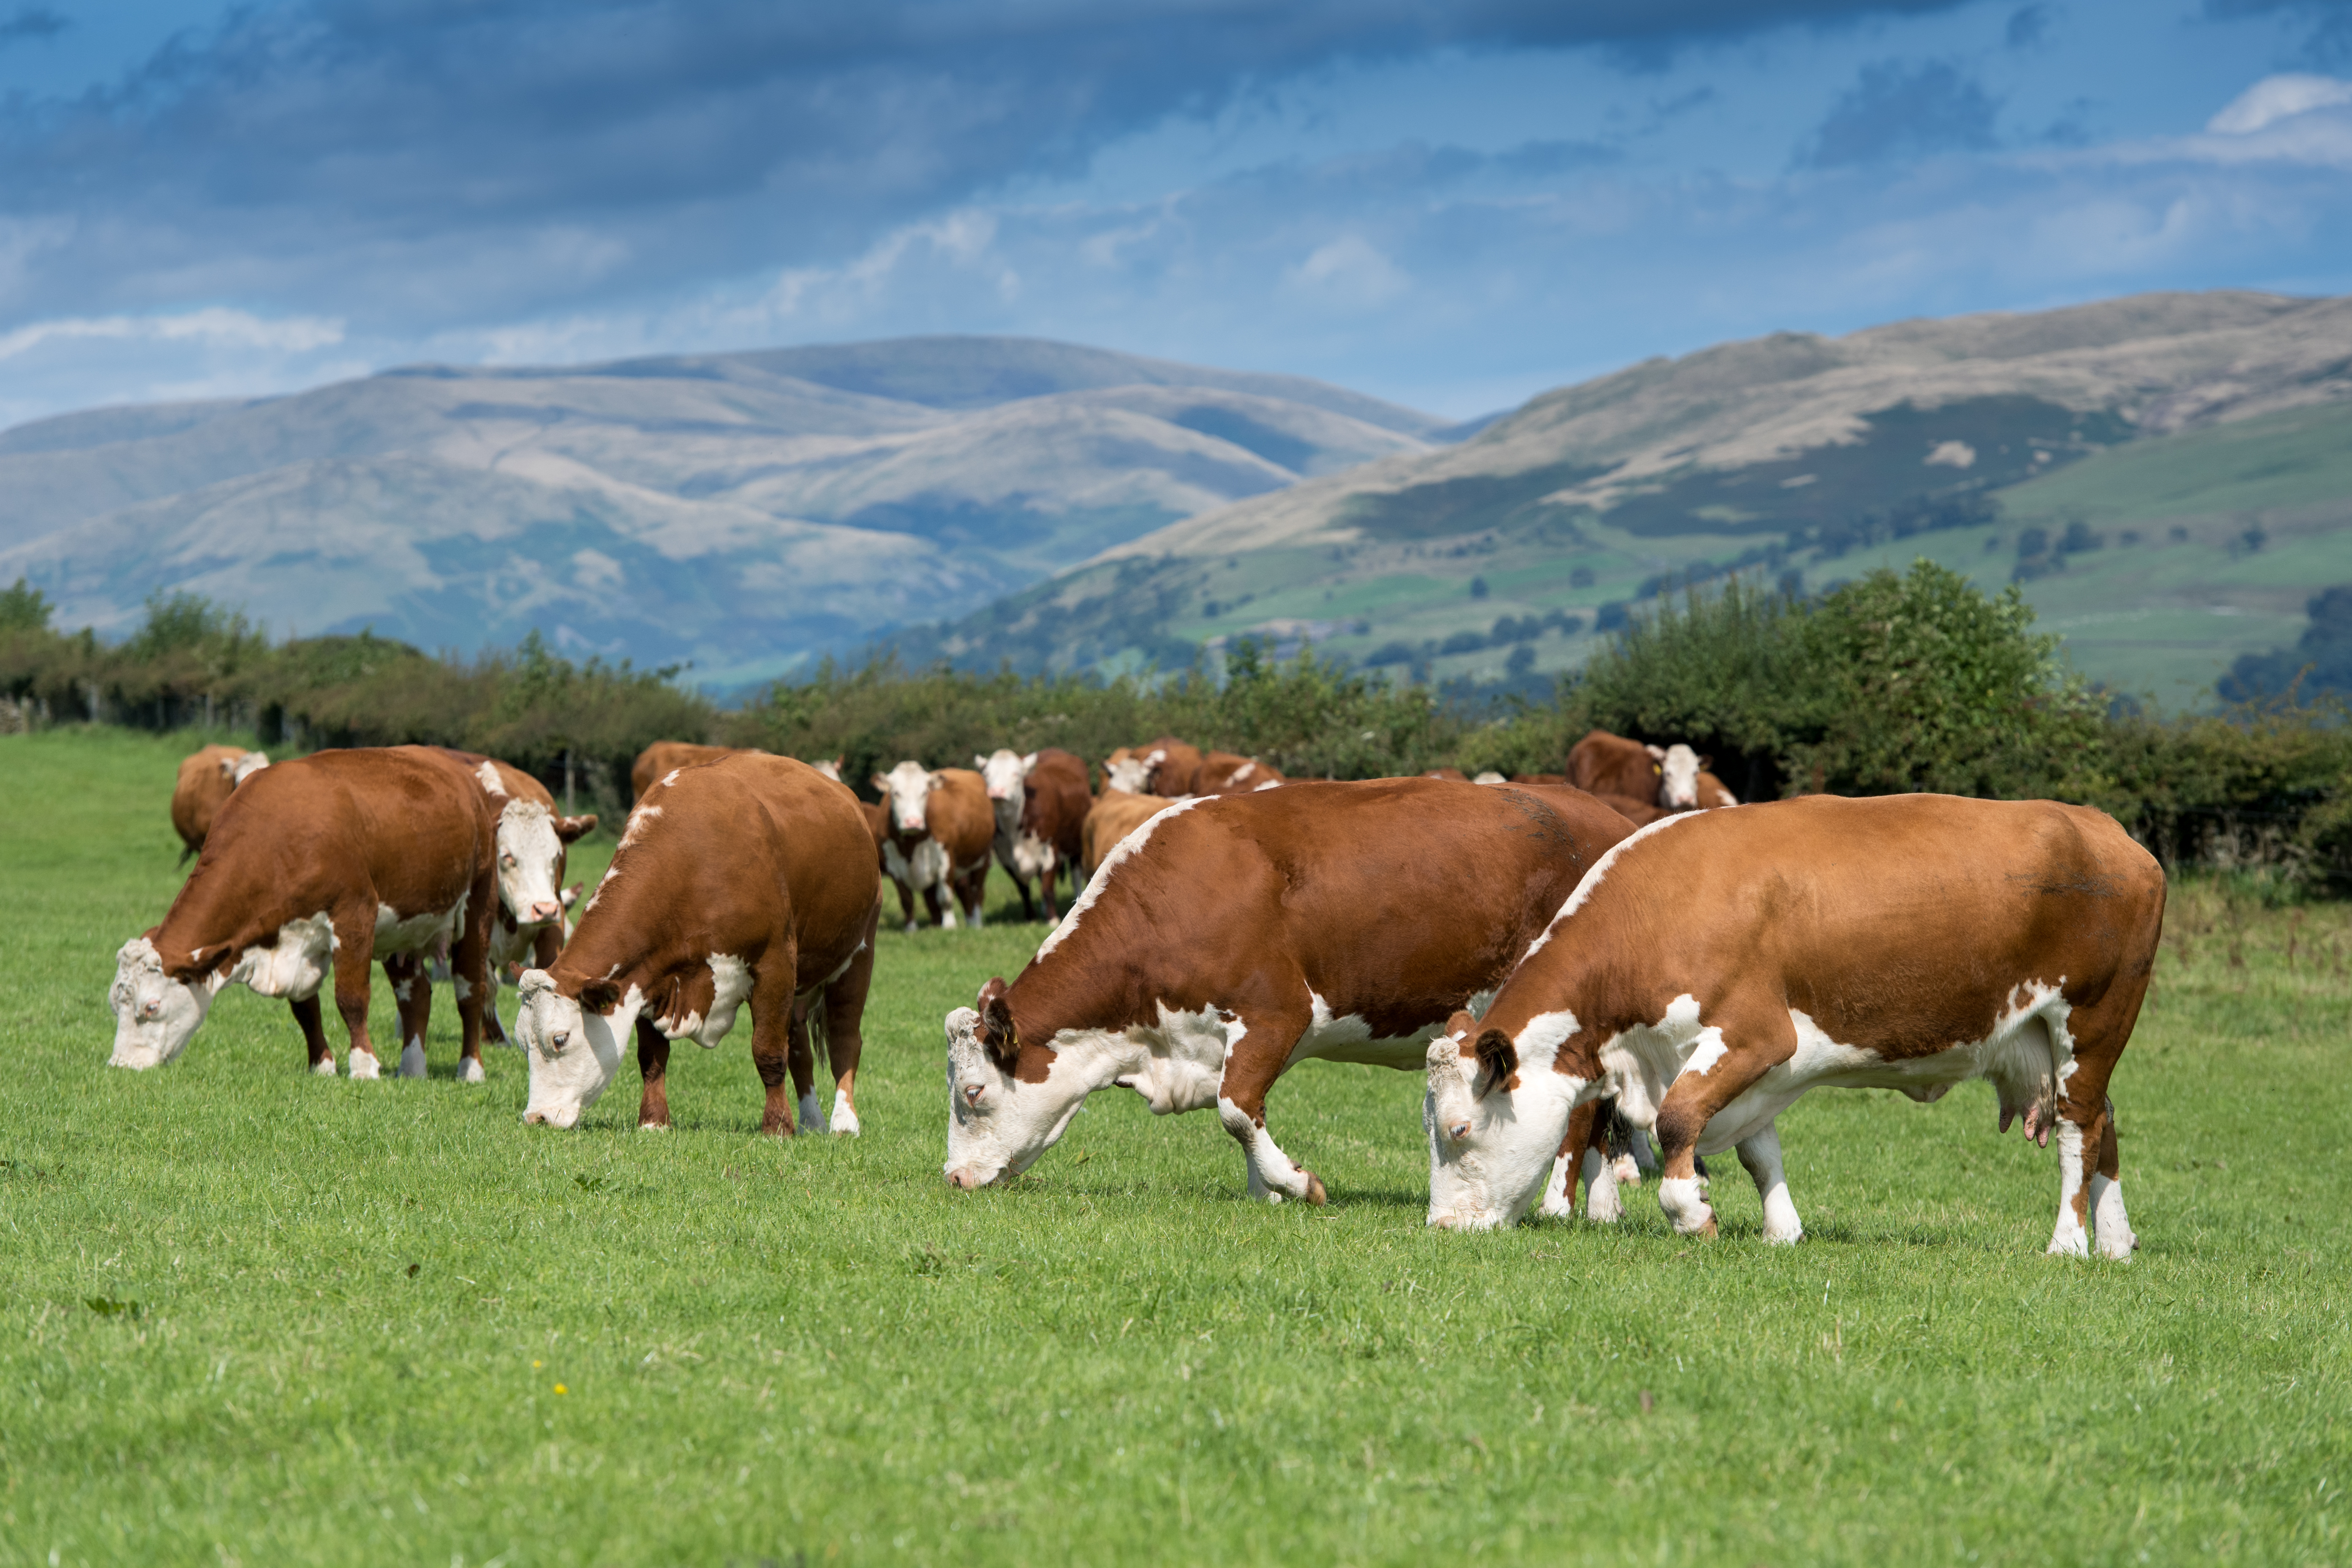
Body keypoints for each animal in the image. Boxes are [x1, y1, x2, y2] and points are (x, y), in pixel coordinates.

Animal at [513, 754, 878, 1136]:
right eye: (522, 1044)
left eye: (560, 1039)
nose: (536, 1117)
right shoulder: (646, 975)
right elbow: (652, 1058)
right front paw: (653, 1122)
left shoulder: (774, 964)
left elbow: (768, 1051)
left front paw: (777, 1127)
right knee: (800, 1048)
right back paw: (812, 1120)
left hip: (858, 956)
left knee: (844, 1038)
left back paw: (844, 1121)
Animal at [872, 762, 994, 929]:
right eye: (896, 793)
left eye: (924, 793)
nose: (913, 822)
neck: (912, 843)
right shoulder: (894, 867)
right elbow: (907, 900)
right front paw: (911, 929)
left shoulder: (946, 860)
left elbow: (945, 897)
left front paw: (949, 925)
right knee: (962, 891)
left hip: (982, 859)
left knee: (977, 893)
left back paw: (976, 924)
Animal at [942, 779, 1633, 1204]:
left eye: (973, 1092)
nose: (952, 1178)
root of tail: (1607, 816)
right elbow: (1250, 1111)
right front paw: (1266, 1193)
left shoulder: (1276, 1013)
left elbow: (1235, 1109)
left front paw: (1297, 1184)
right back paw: (1604, 1207)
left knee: (1582, 1115)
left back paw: (1558, 1205)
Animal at [1424, 794, 2165, 1259]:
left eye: (1459, 1130)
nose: (1441, 1227)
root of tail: (2106, 829)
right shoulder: (1760, 1069)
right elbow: (1759, 1152)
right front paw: (1782, 1231)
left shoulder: (1753, 1037)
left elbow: (1676, 1121)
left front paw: (1693, 1213)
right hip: (2052, 1039)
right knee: (2105, 1126)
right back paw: (2116, 1243)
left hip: (2093, 1022)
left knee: (2078, 1129)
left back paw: (2069, 1243)